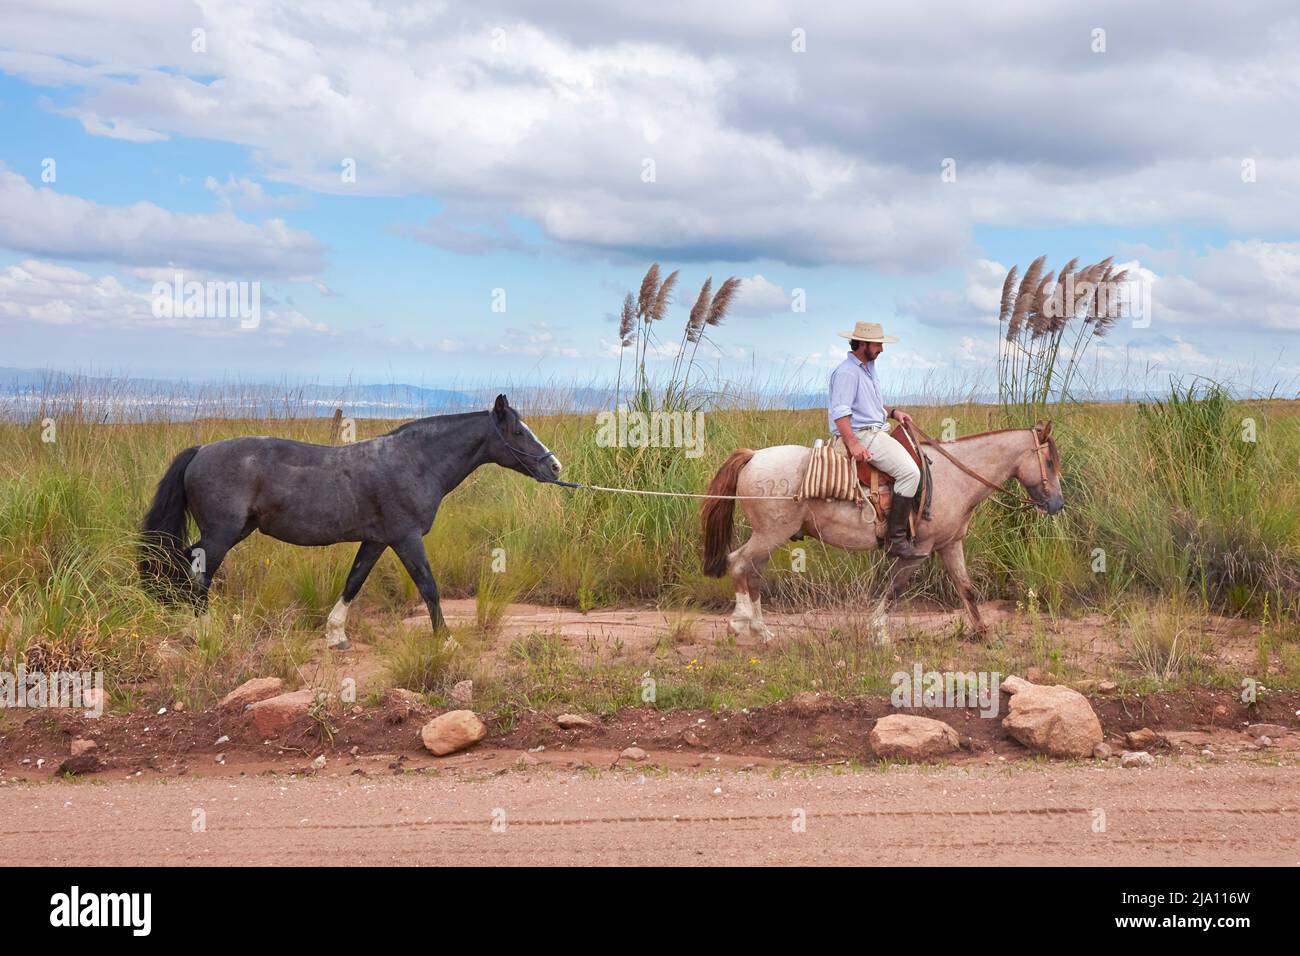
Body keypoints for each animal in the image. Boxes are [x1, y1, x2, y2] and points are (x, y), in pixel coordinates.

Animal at [138, 394, 562, 649]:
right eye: (518, 431)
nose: (555, 466)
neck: (414, 462)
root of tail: (200, 451)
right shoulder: (406, 538)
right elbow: (429, 587)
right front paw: (447, 641)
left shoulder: (377, 540)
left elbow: (354, 581)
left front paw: (336, 635)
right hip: (221, 534)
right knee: (199, 572)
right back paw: (204, 630)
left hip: (235, 530)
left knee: (187, 562)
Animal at [700, 421, 1063, 642]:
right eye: (1049, 462)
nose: (1057, 504)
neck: (953, 476)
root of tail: (753, 456)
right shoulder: (919, 550)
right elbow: (894, 589)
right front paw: (878, 632)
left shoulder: (950, 544)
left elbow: (966, 589)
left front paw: (982, 633)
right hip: (769, 534)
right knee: (739, 562)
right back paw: (740, 623)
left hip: (768, 537)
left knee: (753, 571)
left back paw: (761, 630)